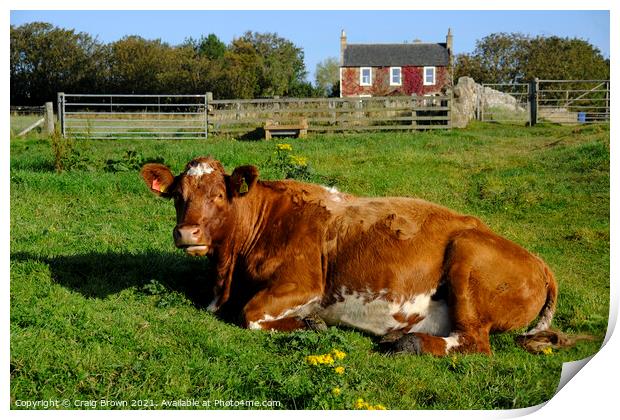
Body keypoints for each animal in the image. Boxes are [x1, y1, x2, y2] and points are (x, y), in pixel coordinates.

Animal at [140, 157, 576, 354]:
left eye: (219, 195)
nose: (187, 233)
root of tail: (539, 262)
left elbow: (250, 315)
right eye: (178, 196)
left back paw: (409, 343)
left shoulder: (304, 285)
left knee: (474, 343)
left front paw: (311, 324)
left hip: (467, 258)